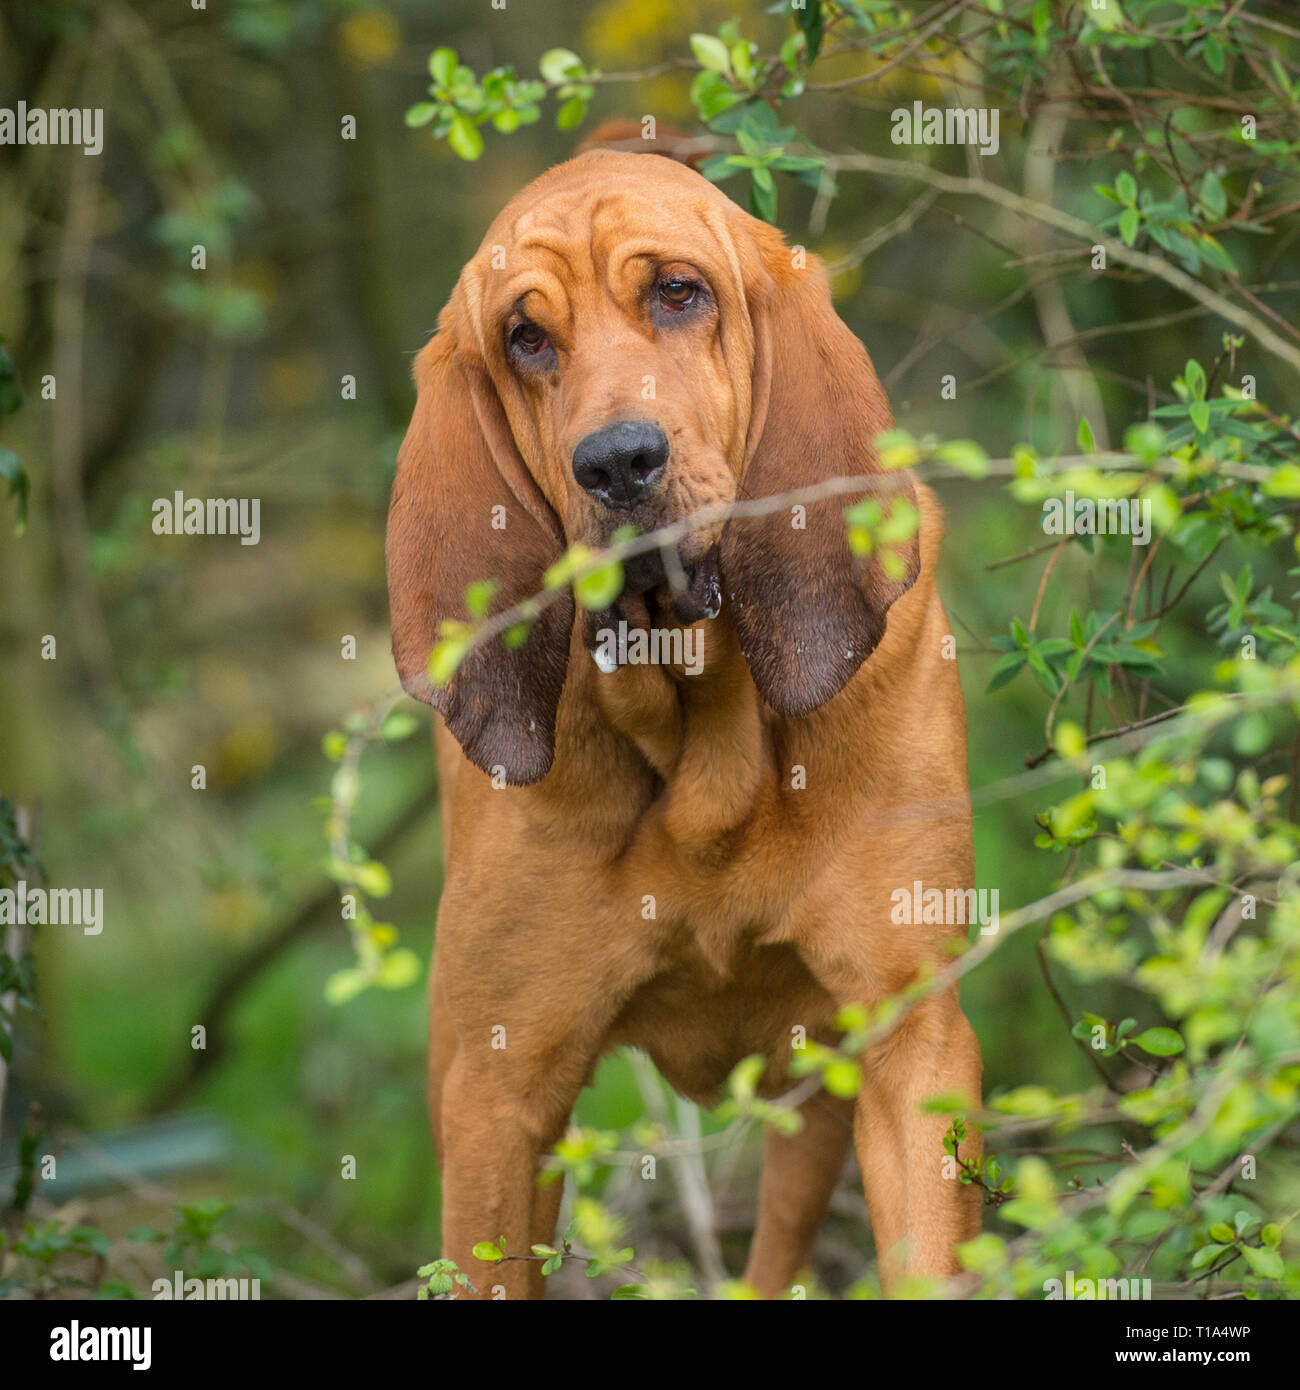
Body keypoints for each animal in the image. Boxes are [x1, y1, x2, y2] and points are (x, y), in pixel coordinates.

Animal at [386, 135, 984, 1295]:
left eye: (677, 292)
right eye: (526, 338)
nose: (619, 463)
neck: (705, 743)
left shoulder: (910, 1040)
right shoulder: (495, 1101)